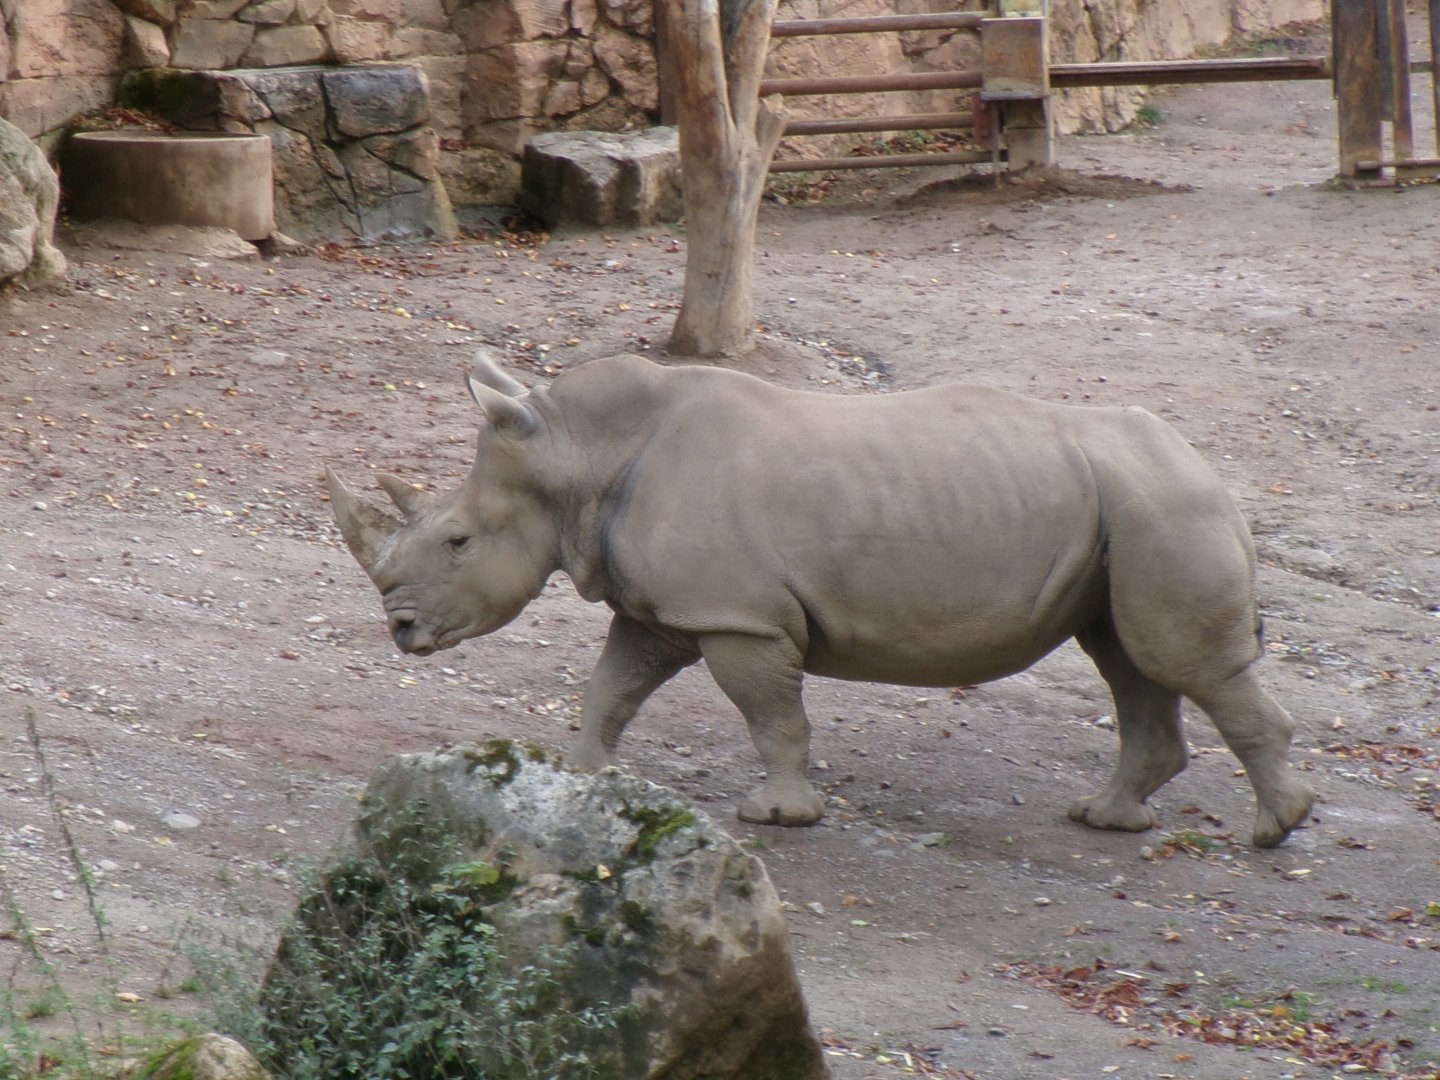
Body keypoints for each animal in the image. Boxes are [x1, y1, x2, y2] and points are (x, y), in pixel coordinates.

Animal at [327, 352, 1315, 848]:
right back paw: (1105, 819)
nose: (400, 629)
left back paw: (1275, 830)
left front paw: (777, 818)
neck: (576, 456)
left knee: (1178, 662)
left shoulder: (737, 615)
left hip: (1163, 507)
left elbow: (772, 715)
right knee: (1126, 658)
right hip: (1128, 512)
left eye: (458, 542)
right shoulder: (669, 609)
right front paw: (583, 776)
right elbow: (613, 684)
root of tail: (1215, 473)